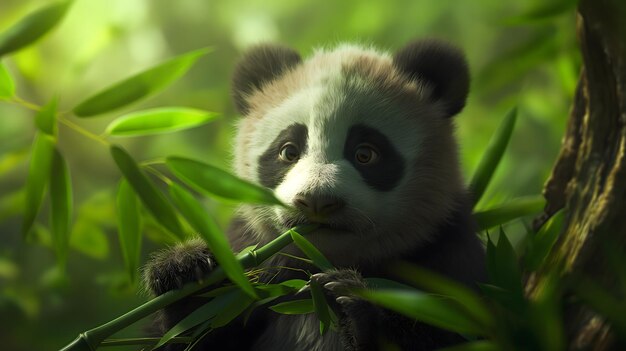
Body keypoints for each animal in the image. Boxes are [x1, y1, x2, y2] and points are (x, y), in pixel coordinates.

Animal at [144, 40, 486, 350]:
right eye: (289, 151)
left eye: (365, 154)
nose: (317, 202)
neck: (318, 259)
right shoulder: (254, 259)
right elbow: (196, 330)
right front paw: (186, 272)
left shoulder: (443, 251)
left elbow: (451, 328)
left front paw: (350, 302)